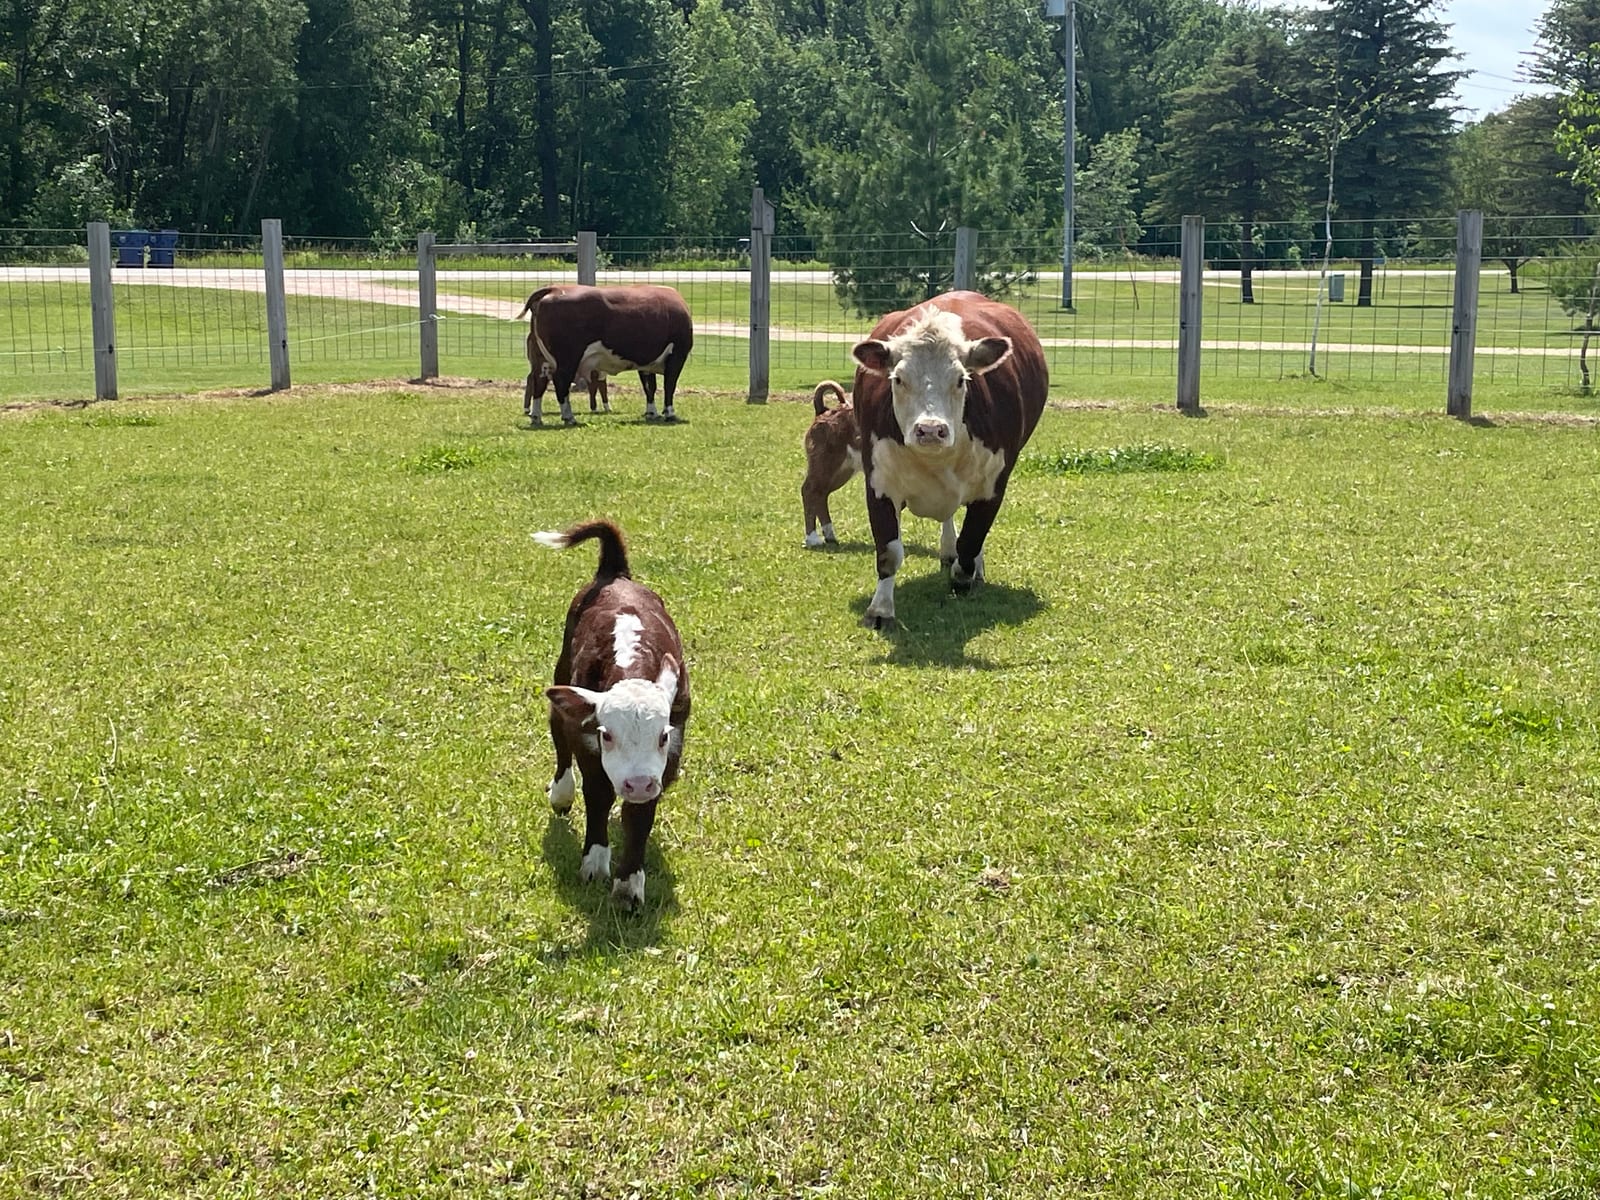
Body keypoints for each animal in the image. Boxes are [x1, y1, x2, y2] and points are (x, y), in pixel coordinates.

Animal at [515, 285, 693, 427]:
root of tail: (554, 288)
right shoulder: (677, 355)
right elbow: (669, 385)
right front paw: (670, 413)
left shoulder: (645, 363)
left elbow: (650, 387)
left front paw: (652, 413)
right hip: (567, 358)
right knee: (560, 382)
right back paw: (569, 417)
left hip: (541, 359)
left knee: (539, 382)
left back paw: (536, 417)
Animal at [534, 520, 690, 908]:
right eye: (607, 734)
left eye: (662, 735)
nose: (637, 783)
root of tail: (615, 573)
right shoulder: (588, 741)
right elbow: (598, 794)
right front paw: (595, 862)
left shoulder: (668, 757)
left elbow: (639, 815)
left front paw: (628, 884)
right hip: (561, 678)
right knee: (559, 736)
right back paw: (561, 794)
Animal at [801, 379, 863, 548]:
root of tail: (823, 411)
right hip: (825, 464)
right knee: (809, 491)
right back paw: (812, 538)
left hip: (841, 470)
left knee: (820, 494)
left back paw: (829, 536)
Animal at [849, 291, 1048, 629]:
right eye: (898, 379)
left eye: (960, 379)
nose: (930, 429)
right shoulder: (879, 483)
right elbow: (889, 552)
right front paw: (880, 610)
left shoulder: (994, 485)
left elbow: (972, 539)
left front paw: (963, 575)